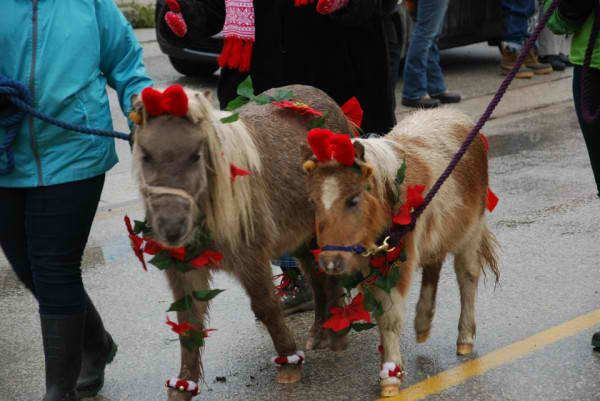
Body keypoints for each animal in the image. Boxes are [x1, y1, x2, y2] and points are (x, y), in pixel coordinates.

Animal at [129, 85, 350, 400]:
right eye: (146, 155)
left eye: (196, 155)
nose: (171, 228)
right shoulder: (184, 269)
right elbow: (188, 323)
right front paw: (183, 386)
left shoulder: (252, 260)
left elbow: (266, 307)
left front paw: (289, 363)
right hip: (300, 238)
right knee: (318, 279)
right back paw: (320, 332)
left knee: (331, 276)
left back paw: (337, 335)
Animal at [302, 107, 500, 396]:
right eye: (313, 202)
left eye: (353, 199)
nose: (330, 262)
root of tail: (455, 115)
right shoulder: (371, 267)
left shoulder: (396, 265)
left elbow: (389, 317)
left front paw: (390, 374)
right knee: (433, 267)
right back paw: (422, 324)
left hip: (470, 234)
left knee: (467, 278)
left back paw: (464, 338)